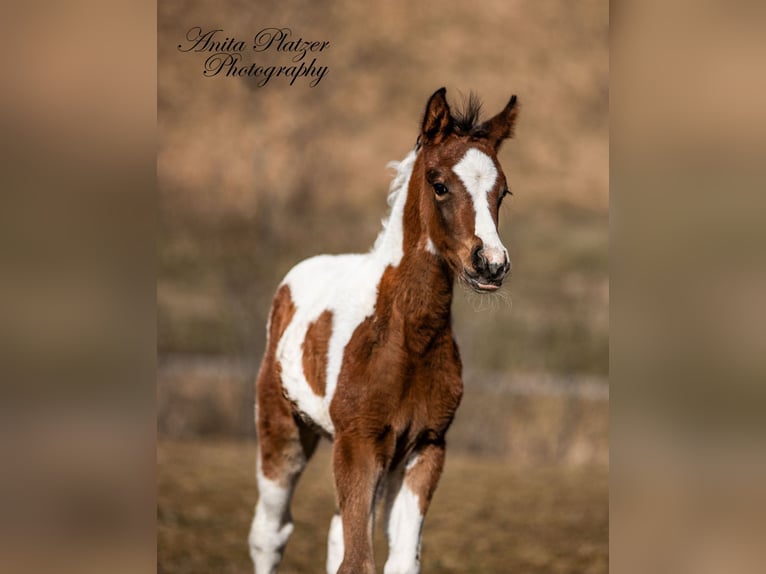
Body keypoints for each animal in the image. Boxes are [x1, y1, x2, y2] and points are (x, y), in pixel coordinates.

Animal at [252, 86, 520, 574]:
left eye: (503, 191)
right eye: (439, 184)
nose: (491, 263)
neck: (406, 338)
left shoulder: (425, 446)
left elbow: (397, 561)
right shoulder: (359, 443)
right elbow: (357, 561)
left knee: (334, 532)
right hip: (282, 427)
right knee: (270, 533)